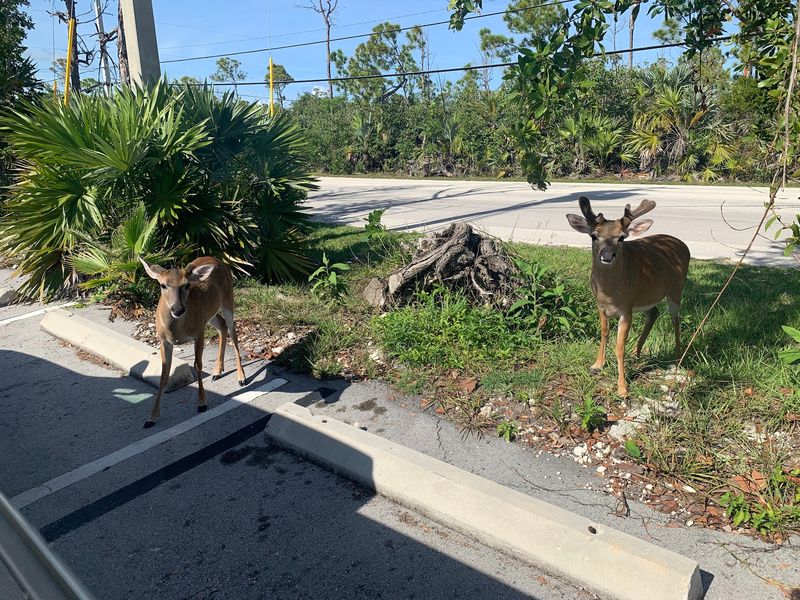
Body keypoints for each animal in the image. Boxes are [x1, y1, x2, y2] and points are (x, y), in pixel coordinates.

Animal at [139, 256, 247, 428]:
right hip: (210, 314)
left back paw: (241, 377)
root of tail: (217, 260)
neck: (177, 330)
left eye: (186, 285)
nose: (178, 309)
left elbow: (198, 365)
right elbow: (164, 374)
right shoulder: (163, 340)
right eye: (163, 285)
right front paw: (151, 417)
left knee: (233, 333)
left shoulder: (198, 333)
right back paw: (217, 371)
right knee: (222, 326)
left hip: (228, 299)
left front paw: (202, 403)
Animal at [566, 197, 690, 397]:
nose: (607, 255)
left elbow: (619, 347)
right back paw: (636, 353)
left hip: (676, 289)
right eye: (594, 235)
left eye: (621, 237)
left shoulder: (626, 308)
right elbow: (604, 333)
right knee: (653, 313)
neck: (609, 293)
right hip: (648, 296)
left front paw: (622, 387)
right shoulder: (600, 305)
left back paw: (678, 357)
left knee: (675, 321)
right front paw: (597, 365)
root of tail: (681, 243)